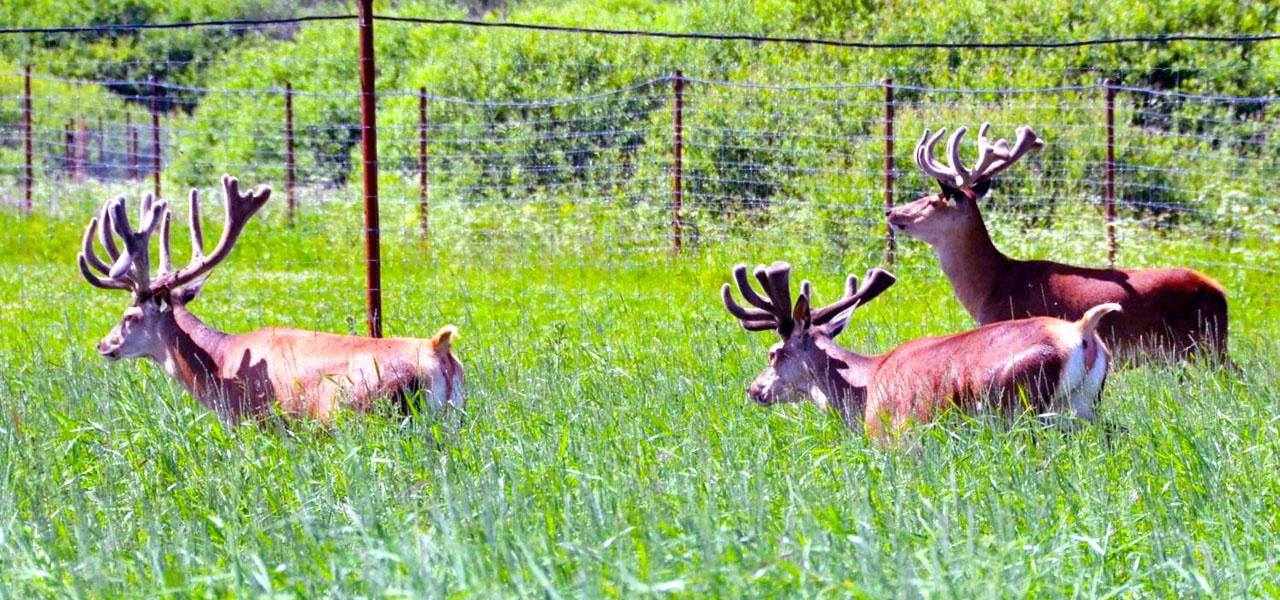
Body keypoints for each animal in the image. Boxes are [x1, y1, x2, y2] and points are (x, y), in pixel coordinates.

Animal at [76, 173, 465, 422]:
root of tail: (438, 350)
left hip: (378, 415)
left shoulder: (257, 422)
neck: (220, 365)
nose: (103, 344)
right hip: (453, 420)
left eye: (129, 316)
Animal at [727, 259, 1126, 437]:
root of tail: (1082, 330)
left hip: (1019, 407)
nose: (754, 389)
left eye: (774, 353)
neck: (864, 386)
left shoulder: (893, 434)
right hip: (1084, 405)